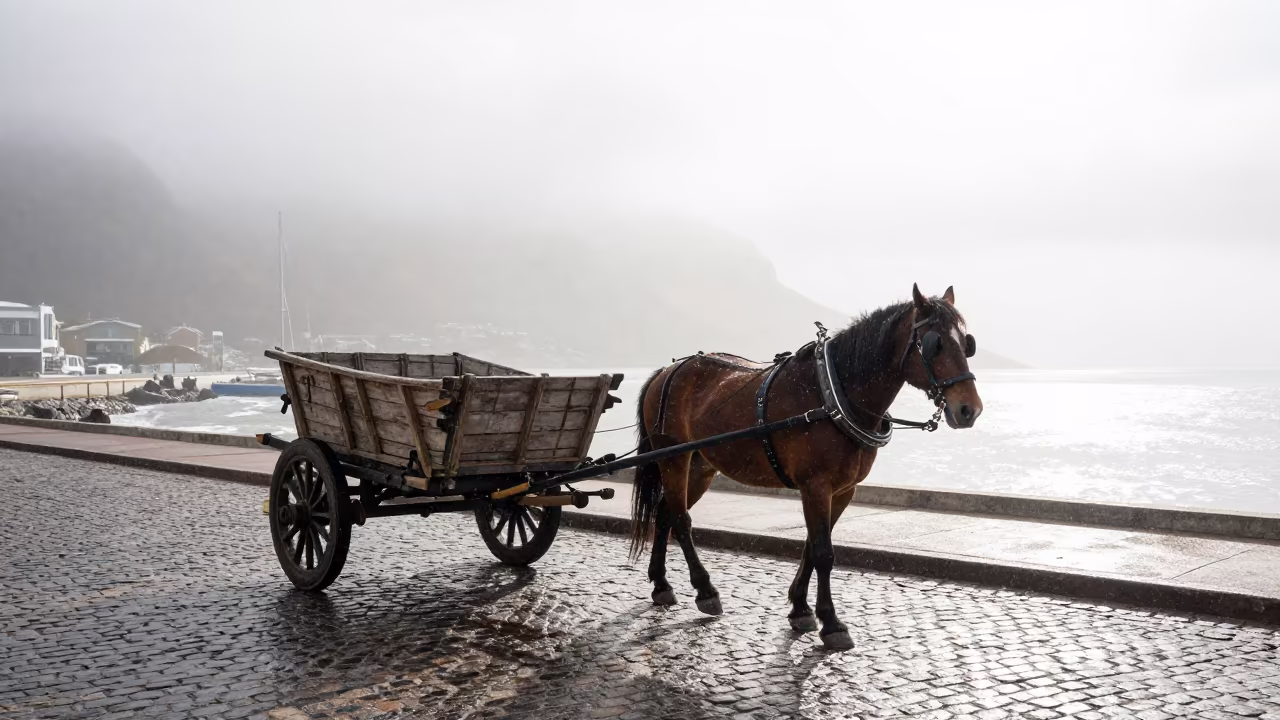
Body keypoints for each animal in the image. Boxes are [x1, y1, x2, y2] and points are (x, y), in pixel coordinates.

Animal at [629, 283, 984, 650]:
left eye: (966, 343)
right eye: (935, 343)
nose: (969, 409)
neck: (833, 395)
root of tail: (667, 371)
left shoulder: (842, 490)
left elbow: (813, 546)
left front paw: (800, 608)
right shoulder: (815, 485)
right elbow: (824, 553)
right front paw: (831, 623)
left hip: (700, 465)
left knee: (665, 512)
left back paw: (661, 584)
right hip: (673, 456)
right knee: (681, 520)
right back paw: (705, 589)